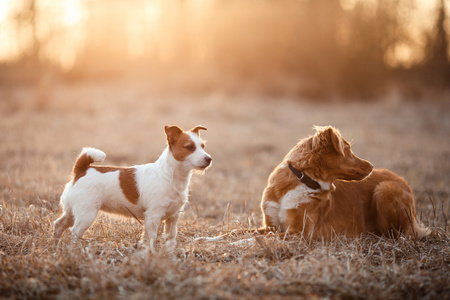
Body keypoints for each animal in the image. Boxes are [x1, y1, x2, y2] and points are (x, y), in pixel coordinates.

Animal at [53, 124, 212, 251]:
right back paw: (76, 249)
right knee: (75, 231)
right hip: (87, 214)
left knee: (59, 224)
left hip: (72, 212)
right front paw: (151, 253)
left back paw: (56, 244)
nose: (209, 159)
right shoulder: (153, 216)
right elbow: (152, 237)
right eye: (189, 147)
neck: (171, 176)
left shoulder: (173, 217)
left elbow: (170, 237)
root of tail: (81, 171)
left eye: (203, 146)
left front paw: (169, 253)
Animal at [260, 126, 428, 239]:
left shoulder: (299, 232)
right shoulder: (271, 226)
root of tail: (402, 180)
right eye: (348, 149)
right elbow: (256, 233)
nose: (372, 166)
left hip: (385, 189)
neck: (302, 180)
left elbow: (267, 238)